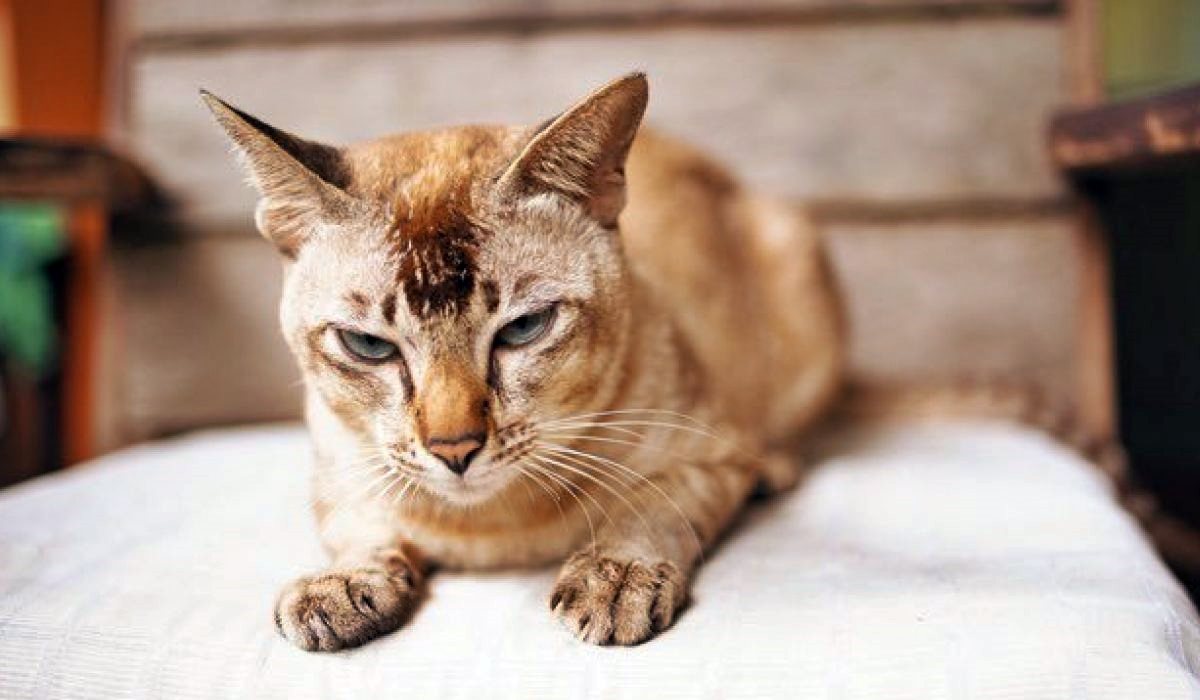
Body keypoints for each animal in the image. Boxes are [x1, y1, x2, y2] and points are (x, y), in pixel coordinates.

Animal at [204, 72, 844, 653]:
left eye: (523, 328)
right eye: (368, 346)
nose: (454, 449)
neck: (493, 529)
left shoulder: (712, 457)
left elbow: (646, 509)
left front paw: (616, 580)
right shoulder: (339, 474)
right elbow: (364, 526)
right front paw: (338, 588)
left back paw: (774, 470)